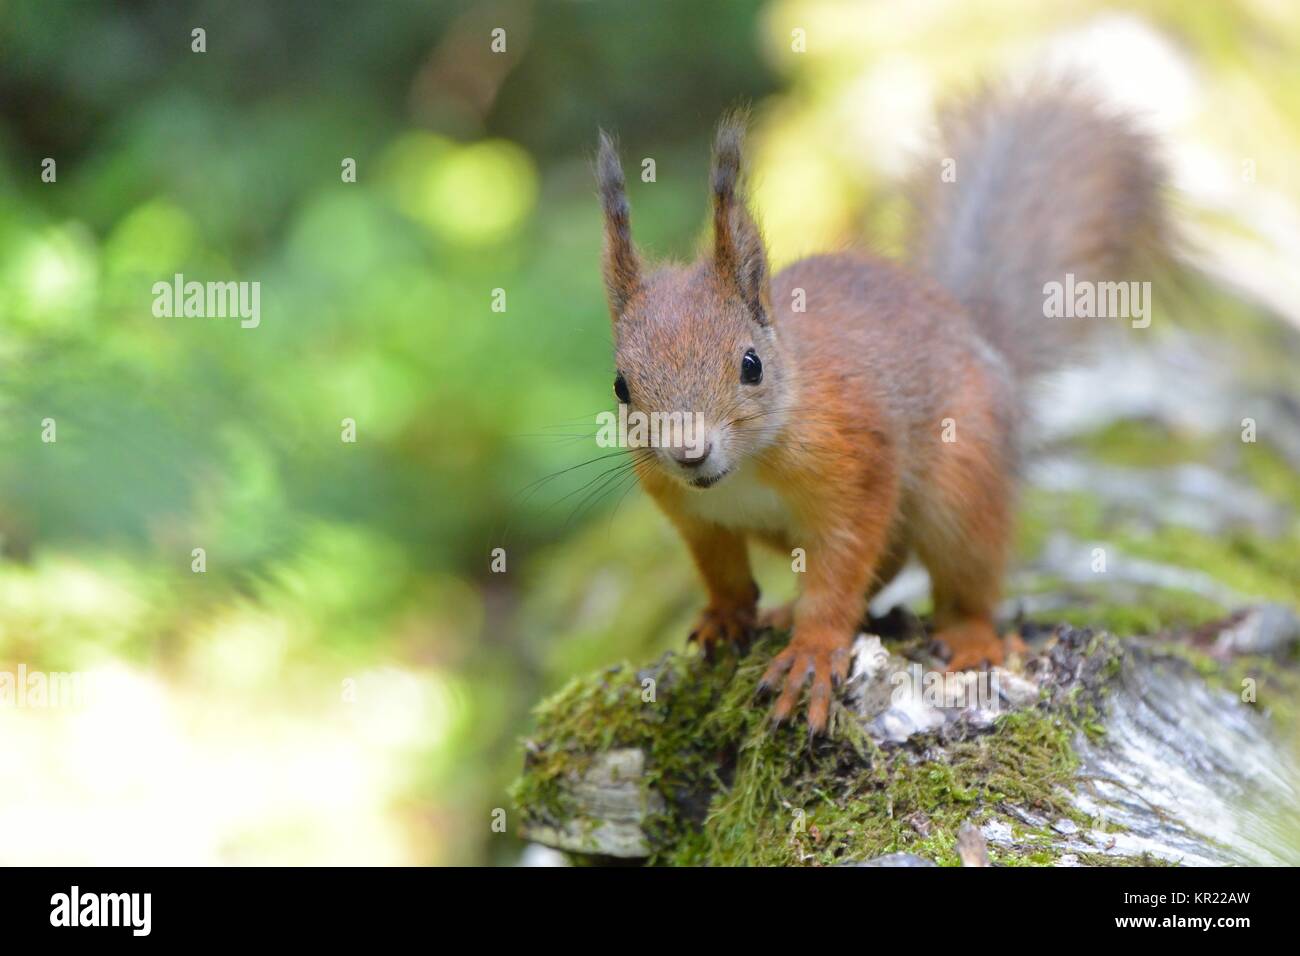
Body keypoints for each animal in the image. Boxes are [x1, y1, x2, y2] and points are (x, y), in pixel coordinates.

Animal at [595, 85, 1164, 738]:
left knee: (962, 573)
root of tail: (982, 344)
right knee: (889, 564)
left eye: (751, 365)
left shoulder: (856, 467)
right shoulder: (692, 515)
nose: (689, 451)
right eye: (621, 386)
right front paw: (727, 616)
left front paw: (814, 651)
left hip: (962, 483)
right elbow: (723, 571)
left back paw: (970, 638)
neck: (744, 471)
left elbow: (842, 569)